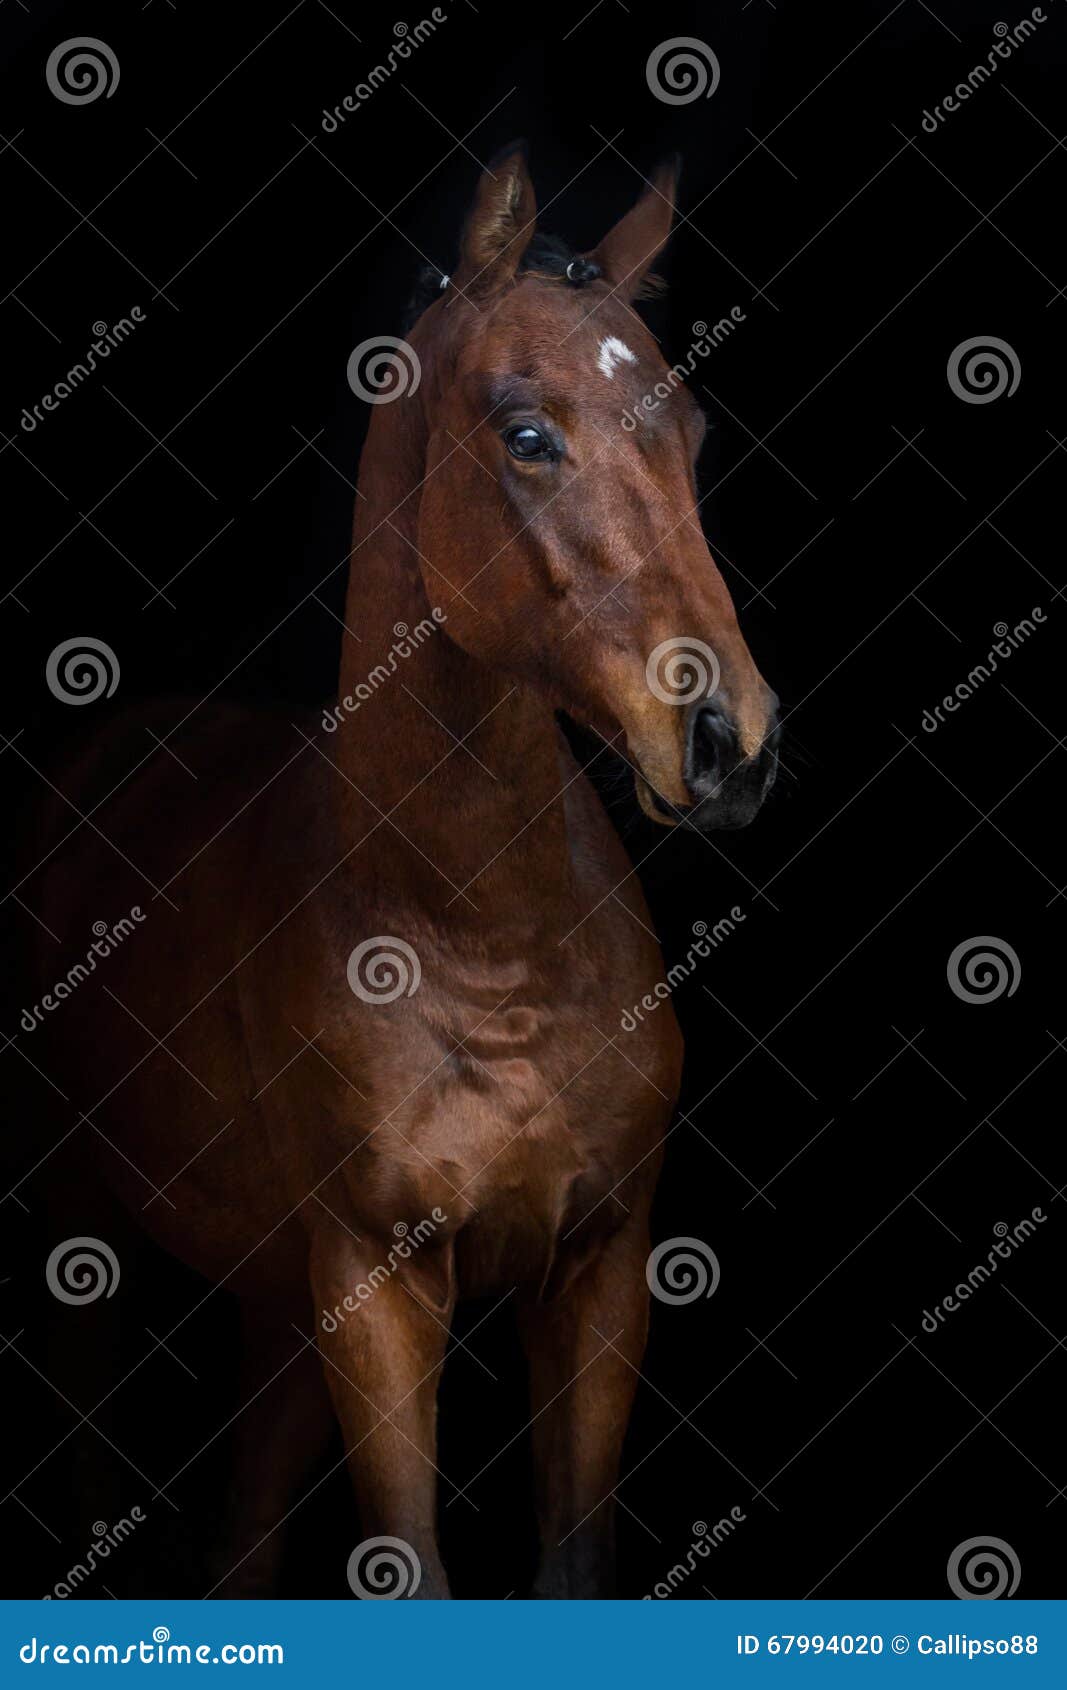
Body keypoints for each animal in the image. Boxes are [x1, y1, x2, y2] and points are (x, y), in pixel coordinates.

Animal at [21, 146, 779, 1598]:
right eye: (527, 435)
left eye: (694, 432)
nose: (729, 739)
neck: (484, 939)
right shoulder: (373, 1291)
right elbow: (410, 1567)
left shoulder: (599, 1272)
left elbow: (572, 1562)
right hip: (84, 1231)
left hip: (276, 1310)